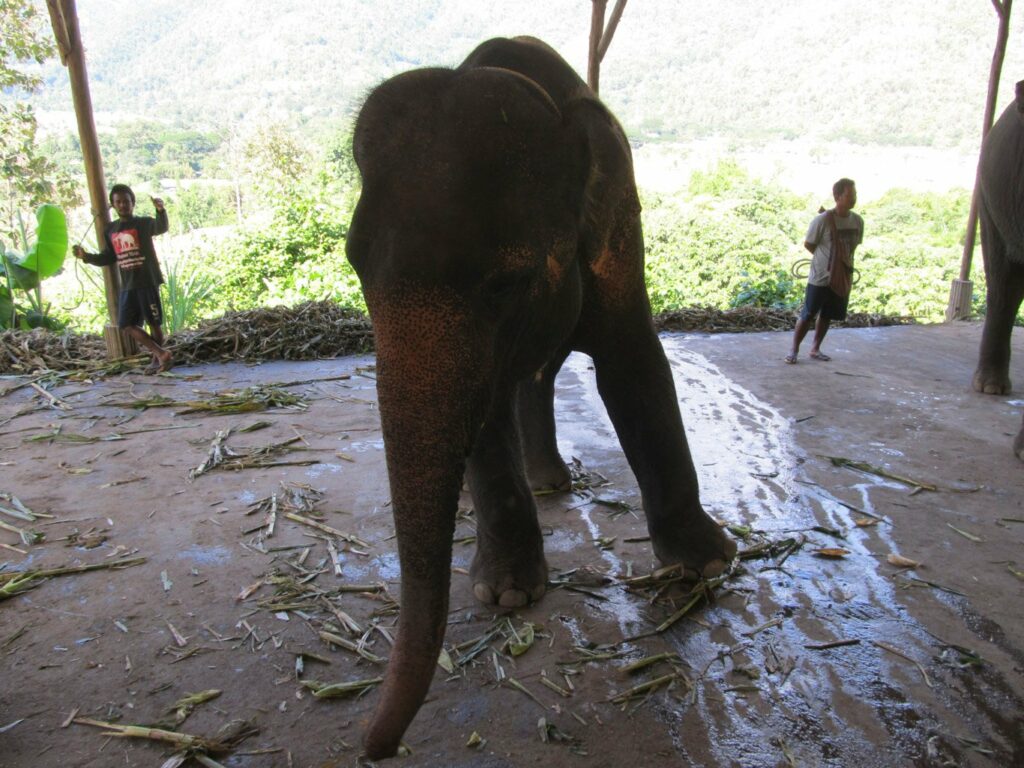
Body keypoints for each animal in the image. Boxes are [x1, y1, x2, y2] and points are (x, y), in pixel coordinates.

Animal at [345, 36, 737, 759]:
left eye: (507, 282)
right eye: (355, 265)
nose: (373, 747)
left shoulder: (618, 225)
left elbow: (634, 365)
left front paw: (706, 565)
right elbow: (487, 412)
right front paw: (506, 597)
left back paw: (552, 481)